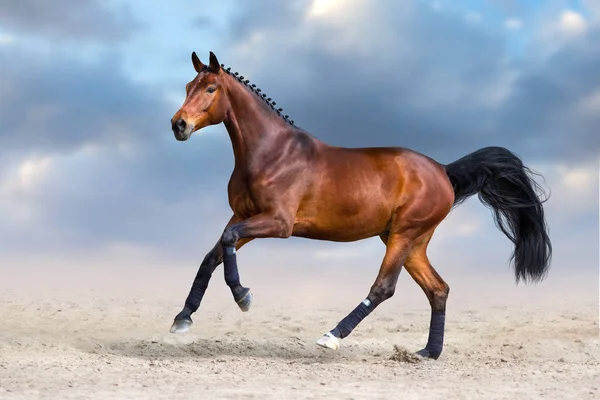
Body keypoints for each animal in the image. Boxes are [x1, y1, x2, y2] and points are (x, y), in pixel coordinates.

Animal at [166, 50, 552, 360]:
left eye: (211, 89)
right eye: (187, 86)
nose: (178, 125)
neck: (272, 152)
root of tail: (443, 170)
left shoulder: (277, 222)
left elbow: (228, 241)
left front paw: (243, 297)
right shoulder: (244, 215)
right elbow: (213, 255)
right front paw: (183, 318)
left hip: (404, 235)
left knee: (384, 288)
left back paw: (332, 336)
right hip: (410, 241)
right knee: (438, 289)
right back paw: (428, 352)